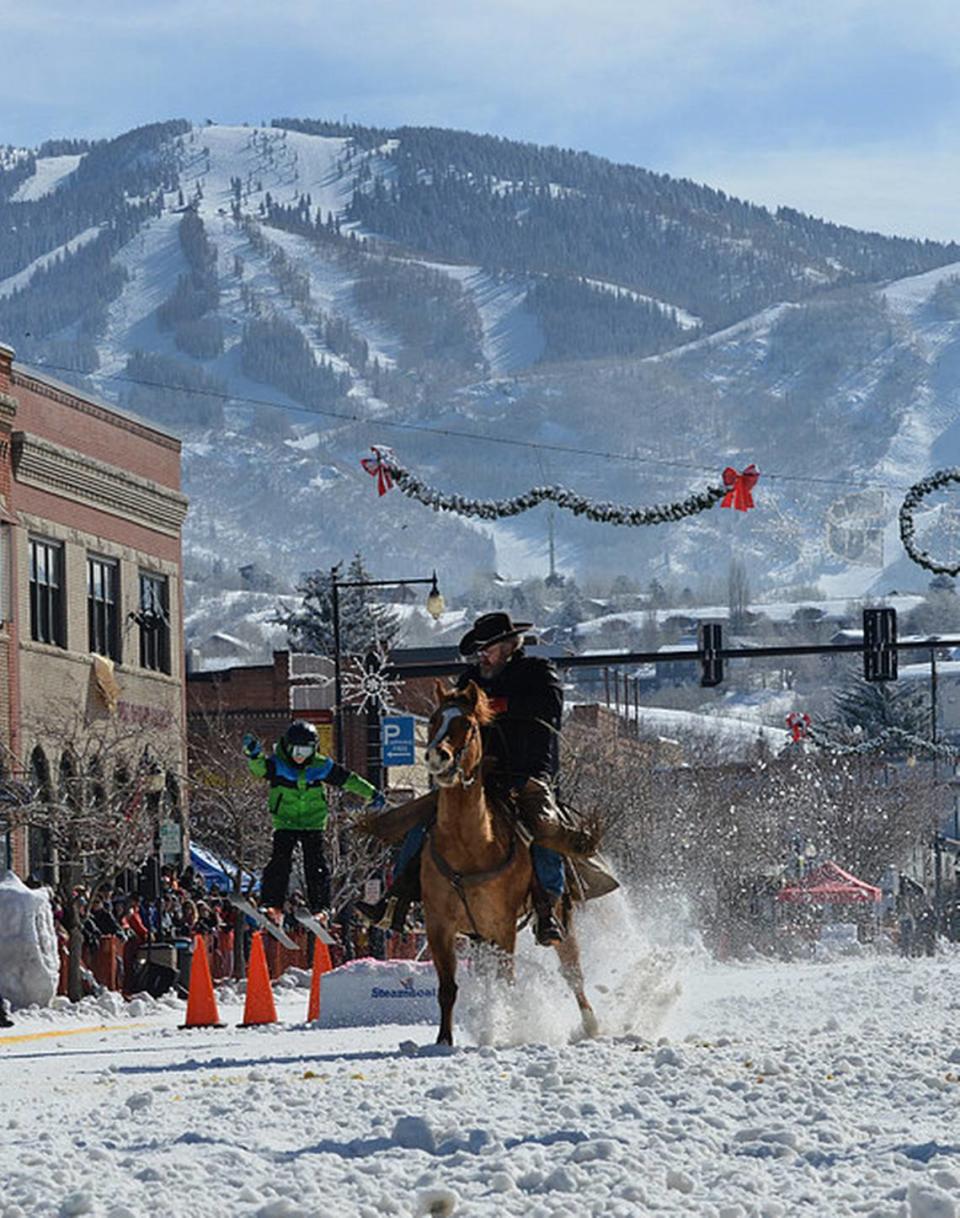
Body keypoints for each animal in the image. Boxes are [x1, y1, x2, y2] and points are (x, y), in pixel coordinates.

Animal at [421, 682, 596, 1042]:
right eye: (433, 720)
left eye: (468, 725)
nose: (436, 756)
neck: (469, 846)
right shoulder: (439, 926)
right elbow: (447, 988)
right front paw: (444, 1041)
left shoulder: (501, 925)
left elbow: (507, 983)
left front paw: (507, 1031)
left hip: (560, 919)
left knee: (572, 971)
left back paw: (590, 1024)